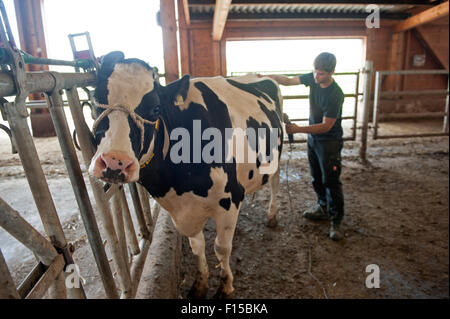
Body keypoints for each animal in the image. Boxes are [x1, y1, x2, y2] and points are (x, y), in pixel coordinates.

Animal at [88, 51, 284, 298]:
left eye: (155, 109)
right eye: (95, 102)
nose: (115, 161)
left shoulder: (229, 198)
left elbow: (221, 248)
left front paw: (225, 286)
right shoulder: (182, 210)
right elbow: (197, 246)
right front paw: (200, 285)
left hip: (275, 158)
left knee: (275, 183)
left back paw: (272, 215)